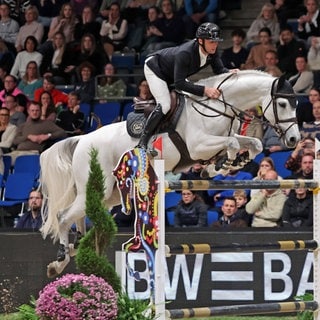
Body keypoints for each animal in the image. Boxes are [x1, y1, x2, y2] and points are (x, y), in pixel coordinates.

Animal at [39, 71, 300, 276]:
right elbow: (233, 144)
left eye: (297, 104)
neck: (219, 108)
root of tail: (82, 139)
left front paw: (227, 163)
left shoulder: (220, 141)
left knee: (78, 217)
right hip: (97, 187)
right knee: (63, 216)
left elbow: (253, 143)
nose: (294, 139)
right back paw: (60, 259)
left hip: (108, 194)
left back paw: (70, 252)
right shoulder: (198, 145)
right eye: (283, 104)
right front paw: (220, 165)